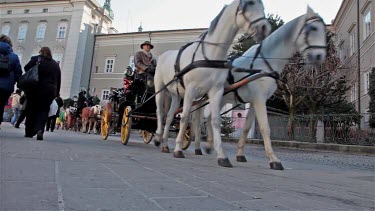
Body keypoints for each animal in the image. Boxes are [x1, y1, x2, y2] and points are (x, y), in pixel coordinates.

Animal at [154, 0, 272, 168]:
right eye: (247, 6)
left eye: (263, 6)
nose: (264, 28)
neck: (209, 54)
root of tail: (163, 56)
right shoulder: (191, 90)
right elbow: (184, 117)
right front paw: (178, 149)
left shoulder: (216, 91)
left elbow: (215, 120)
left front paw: (221, 155)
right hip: (160, 88)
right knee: (160, 112)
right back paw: (158, 137)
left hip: (176, 94)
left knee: (169, 116)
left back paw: (164, 144)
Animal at [192, 7, 328, 170]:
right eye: (313, 29)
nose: (320, 56)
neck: (263, 63)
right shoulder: (259, 100)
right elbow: (265, 128)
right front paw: (274, 159)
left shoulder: (254, 101)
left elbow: (246, 127)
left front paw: (240, 154)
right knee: (196, 119)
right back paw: (198, 147)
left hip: (219, 98)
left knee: (207, 118)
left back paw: (209, 146)